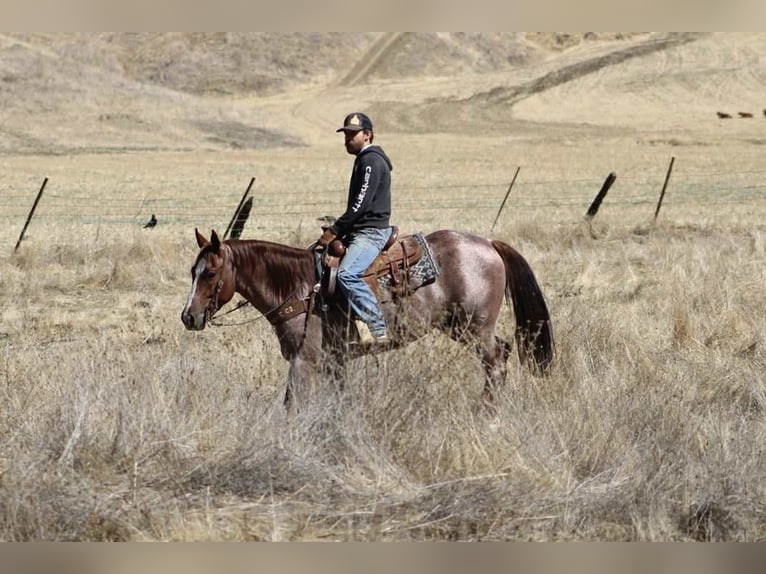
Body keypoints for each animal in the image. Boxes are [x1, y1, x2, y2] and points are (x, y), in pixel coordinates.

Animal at [181, 228, 554, 408]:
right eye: (192, 271)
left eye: (210, 273)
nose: (188, 316)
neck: (298, 286)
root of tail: (488, 244)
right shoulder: (335, 361)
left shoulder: (304, 360)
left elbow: (290, 403)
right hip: (460, 327)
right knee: (502, 353)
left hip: (475, 328)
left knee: (496, 361)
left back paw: (486, 413)